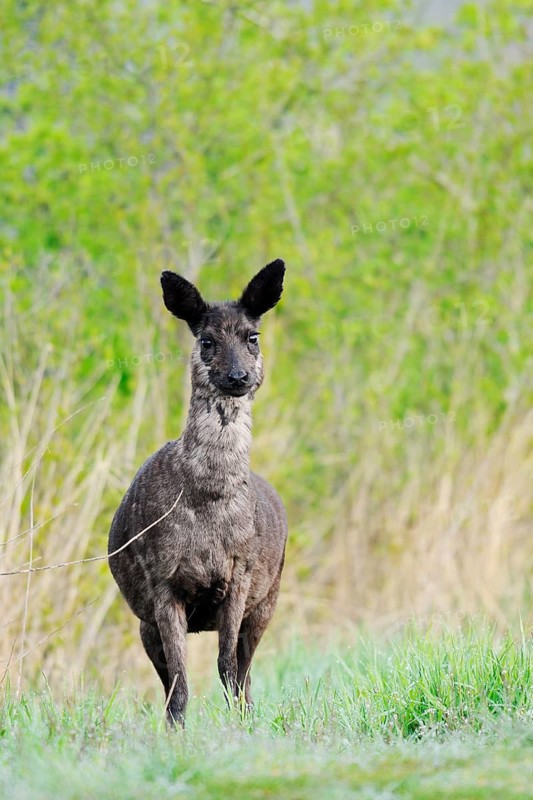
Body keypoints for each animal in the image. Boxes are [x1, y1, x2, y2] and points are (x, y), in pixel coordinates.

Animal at [108, 259, 288, 725]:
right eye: (207, 340)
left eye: (252, 337)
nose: (238, 376)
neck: (208, 498)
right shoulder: (162, 582)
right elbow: (180, 681)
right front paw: (175, 732)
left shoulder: (241, 573)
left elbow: (226, 668)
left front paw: (240, 726)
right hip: (145, 622)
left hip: (269, 598)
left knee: (245, 672)